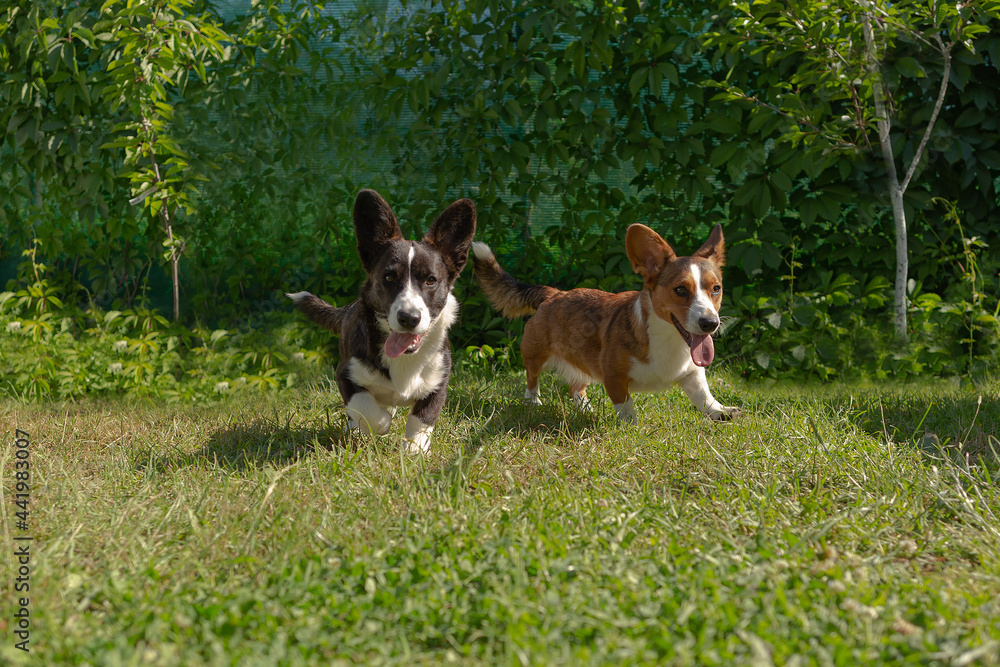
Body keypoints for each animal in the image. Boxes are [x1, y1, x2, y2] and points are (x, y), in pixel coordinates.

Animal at [290, 190, 476, 456]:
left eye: (431, 280)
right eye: (389, 277)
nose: (409, 318)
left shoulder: (439, 383)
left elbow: (422, 420)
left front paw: (415, 450)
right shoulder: (345, 374)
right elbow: (368, 411)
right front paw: (381, 422)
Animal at [472, 224, 740, 422]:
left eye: (716, 289)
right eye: (681, 290)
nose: (710, 324)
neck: (668, 340)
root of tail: (554, 293)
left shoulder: (693, 373)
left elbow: (704, 396)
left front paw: (720, 412)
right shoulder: (613, 377)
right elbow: (626, 406)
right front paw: (631, 427)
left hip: (582, 360)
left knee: (576, 387)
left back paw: (585, 408)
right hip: (535, 353)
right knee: (532, 377)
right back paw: (533, 402)